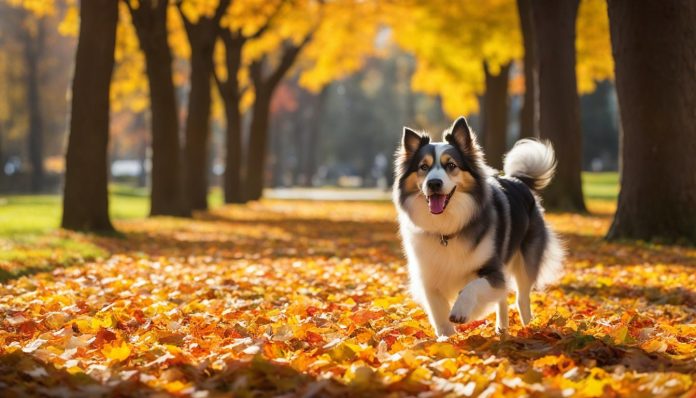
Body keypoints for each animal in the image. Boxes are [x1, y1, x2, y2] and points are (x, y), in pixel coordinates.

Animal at [394, 116, 564, 338]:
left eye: (451, 165)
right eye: (423, 167)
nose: (434, 183)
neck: (446, 228)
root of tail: (517, 179)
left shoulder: (492, 270)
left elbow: (472, 287)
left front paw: (461, 310)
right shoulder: (429, 279)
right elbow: (439, 315)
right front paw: (445, 339)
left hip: (526, 261)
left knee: (521, 298)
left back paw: (529, 327)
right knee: (503, 299)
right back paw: (502, 328)